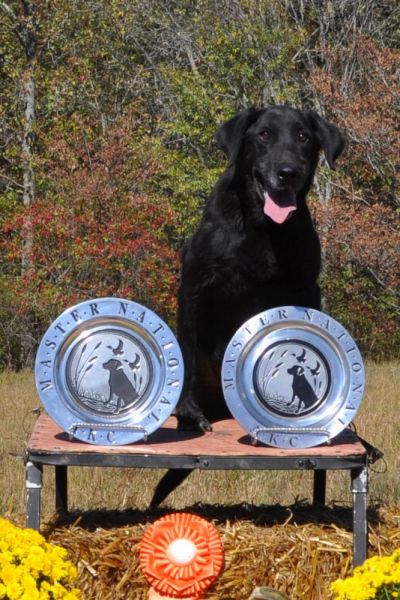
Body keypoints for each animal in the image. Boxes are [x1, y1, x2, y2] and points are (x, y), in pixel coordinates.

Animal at [150, 104, 344, 506]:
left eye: (304, 137)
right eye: (264, 135)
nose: (287, 171)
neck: (262, 227)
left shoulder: (306, 290)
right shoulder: (194, 289)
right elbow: (187, 356)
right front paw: (189, 416)